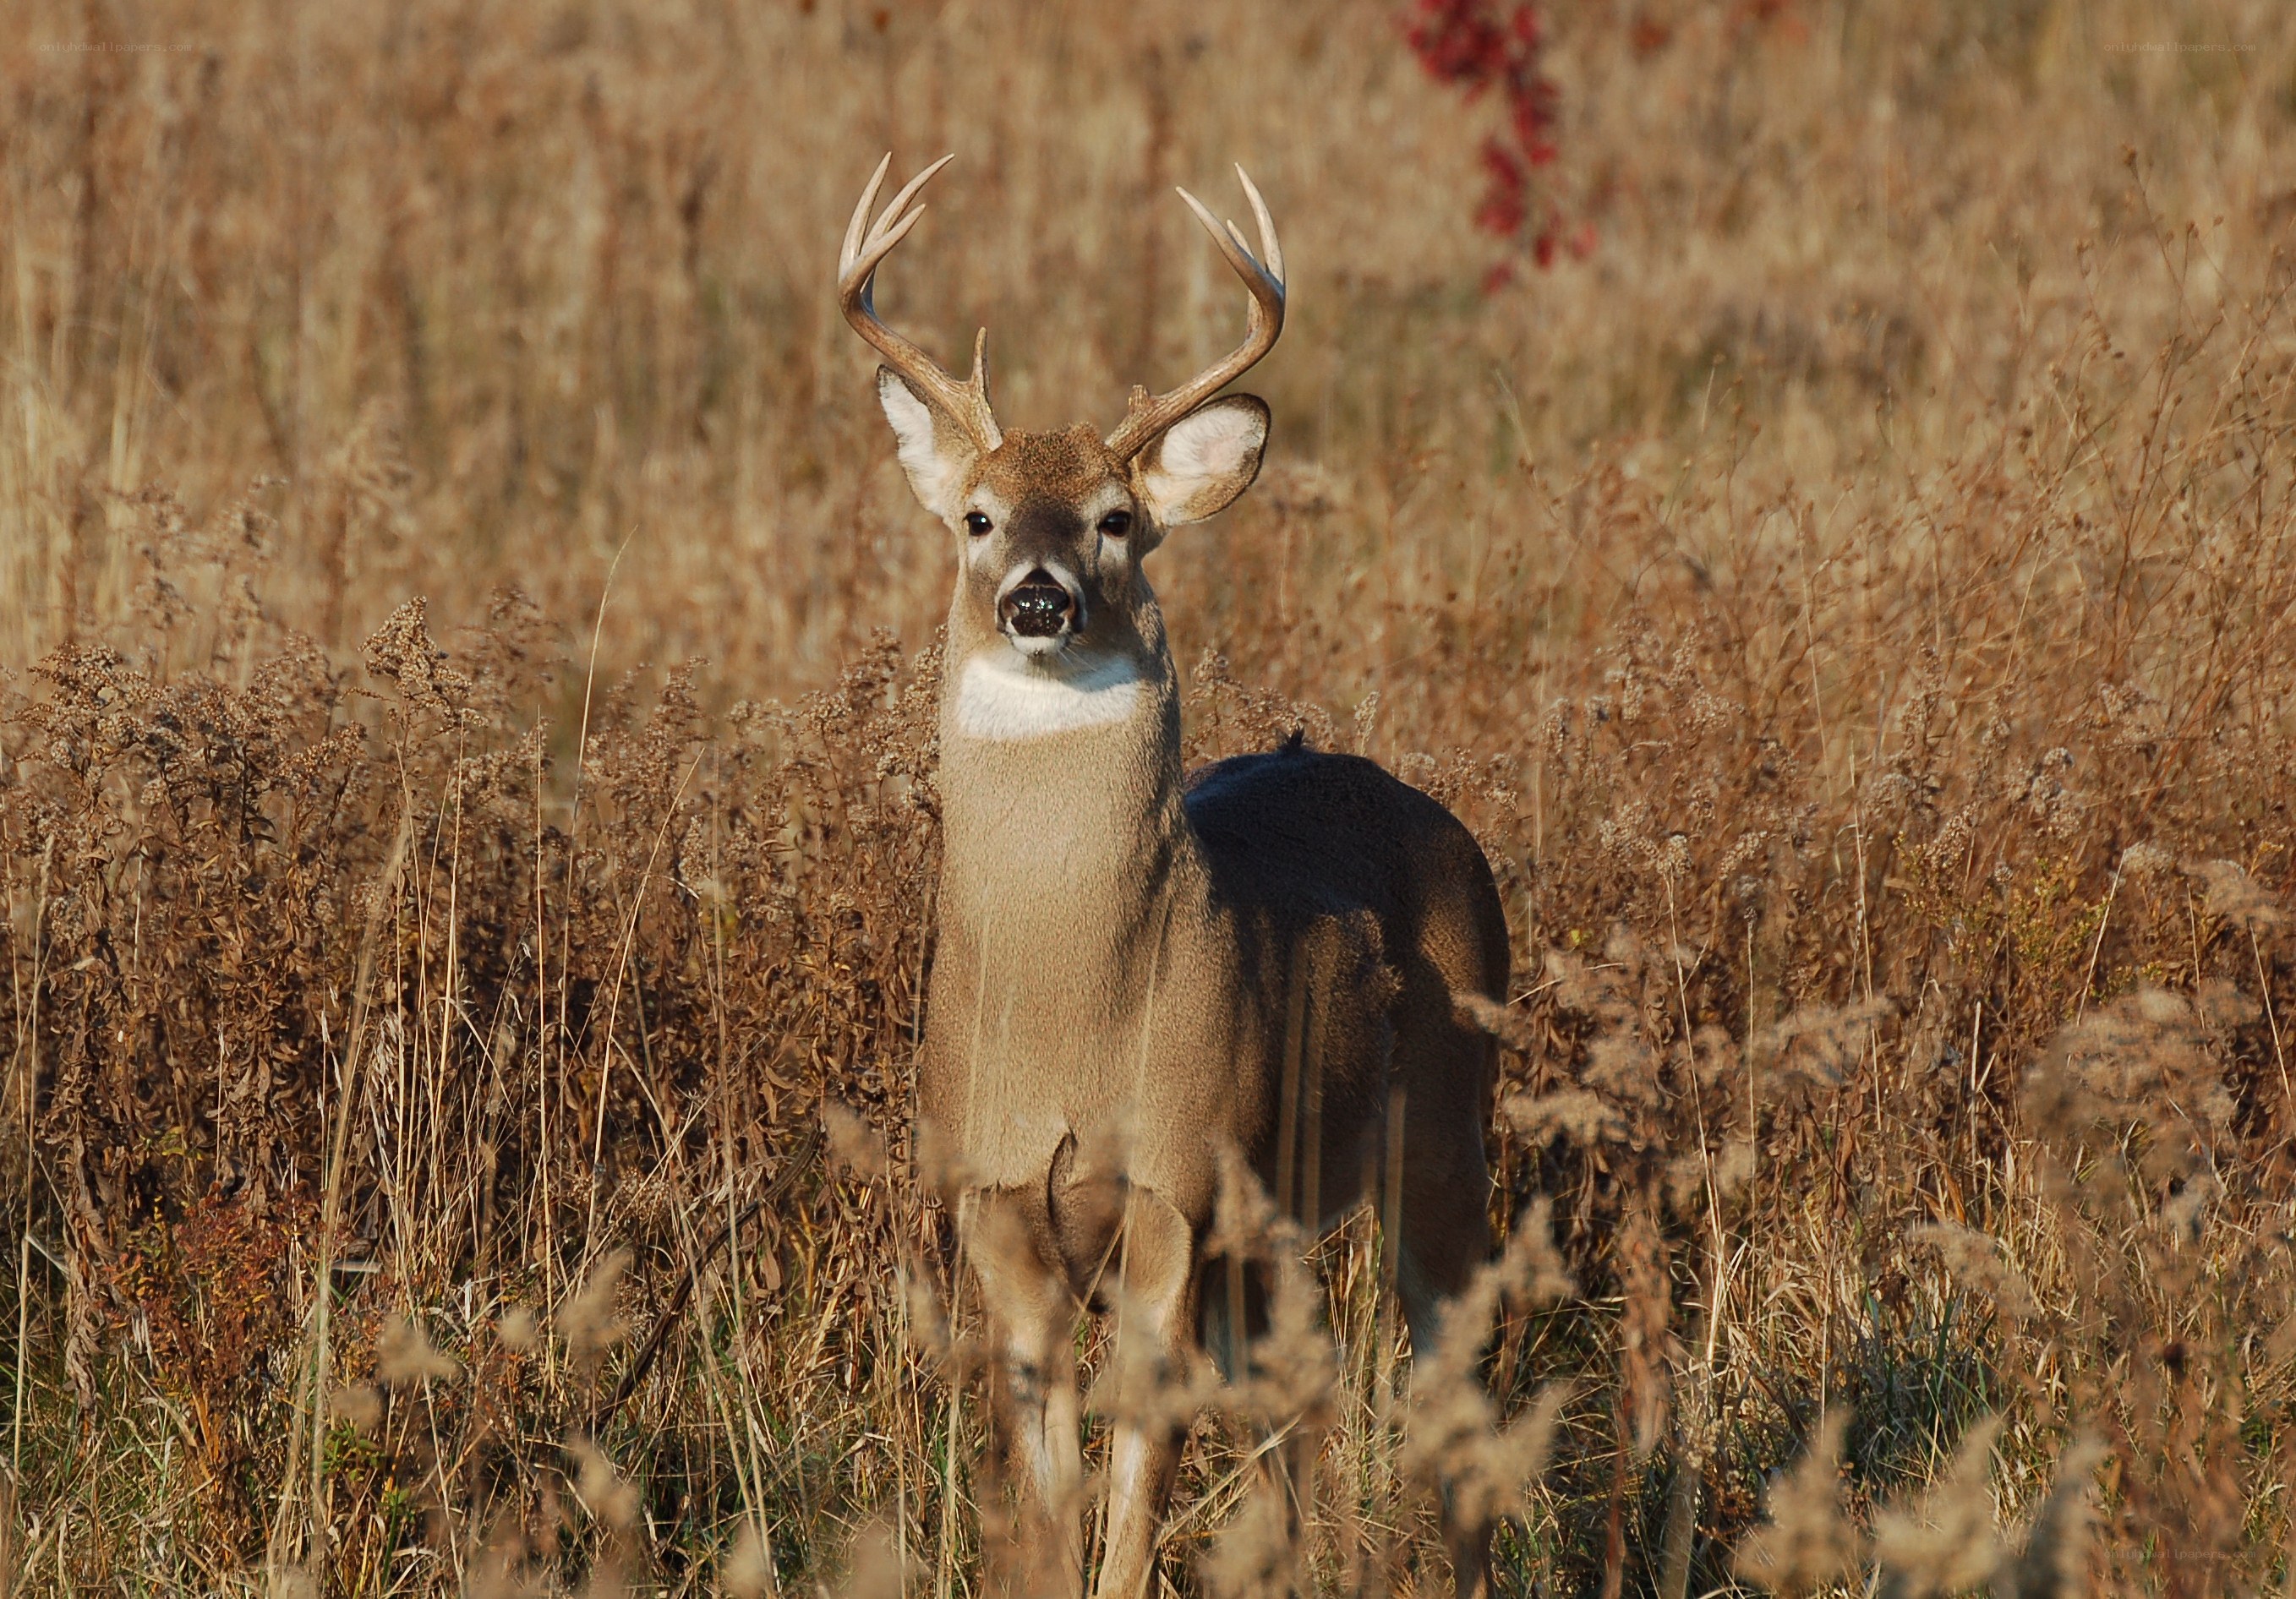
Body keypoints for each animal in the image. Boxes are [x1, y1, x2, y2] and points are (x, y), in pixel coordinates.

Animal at [837, 155, 1512, 1599]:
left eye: (1117, 520)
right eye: (977, 518)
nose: (1038, 598)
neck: (1064, 1017)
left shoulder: (1177, 1178)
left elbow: (1139, 1463)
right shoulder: (989, 1196)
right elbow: (1046, 1487)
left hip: (1441, 1124)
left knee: (1457, 1382)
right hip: (1279, 1227)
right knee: (1303, 1405)